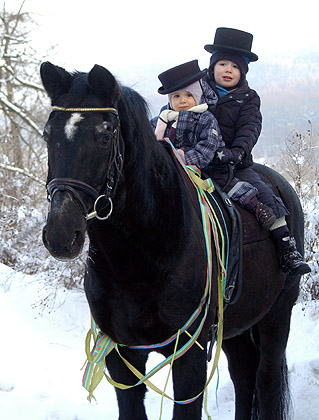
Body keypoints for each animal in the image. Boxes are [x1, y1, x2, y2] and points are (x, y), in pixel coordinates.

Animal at [40, 62, 302, 420]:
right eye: (47, 134)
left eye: (105, 136)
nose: (61, 234)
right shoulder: (121, 355)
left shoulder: (189, 353)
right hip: (234, 325)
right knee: (244, 374)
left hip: (277, 314)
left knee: (266, 379)